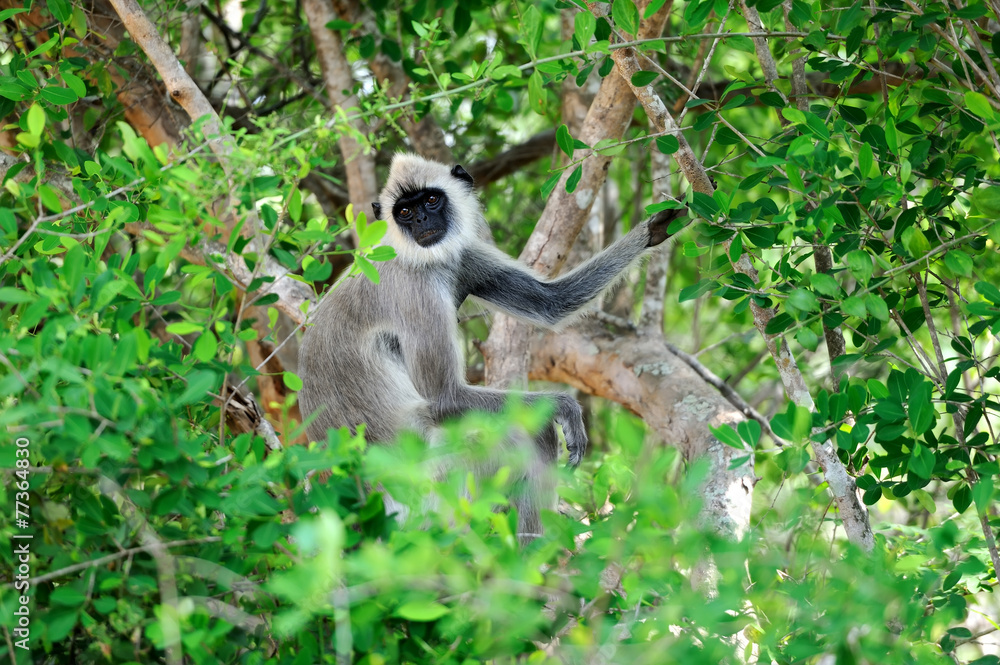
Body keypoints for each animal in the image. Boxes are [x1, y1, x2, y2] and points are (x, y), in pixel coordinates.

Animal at [296, 153, 684, 536]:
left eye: (431, 200)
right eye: (404, 211)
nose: (421, 220)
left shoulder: (463, 255)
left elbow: (551, 302)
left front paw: (657, 228)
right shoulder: (414, 285)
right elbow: (445, 397)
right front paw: (565, 407)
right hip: (433, 481)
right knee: (523, 433)